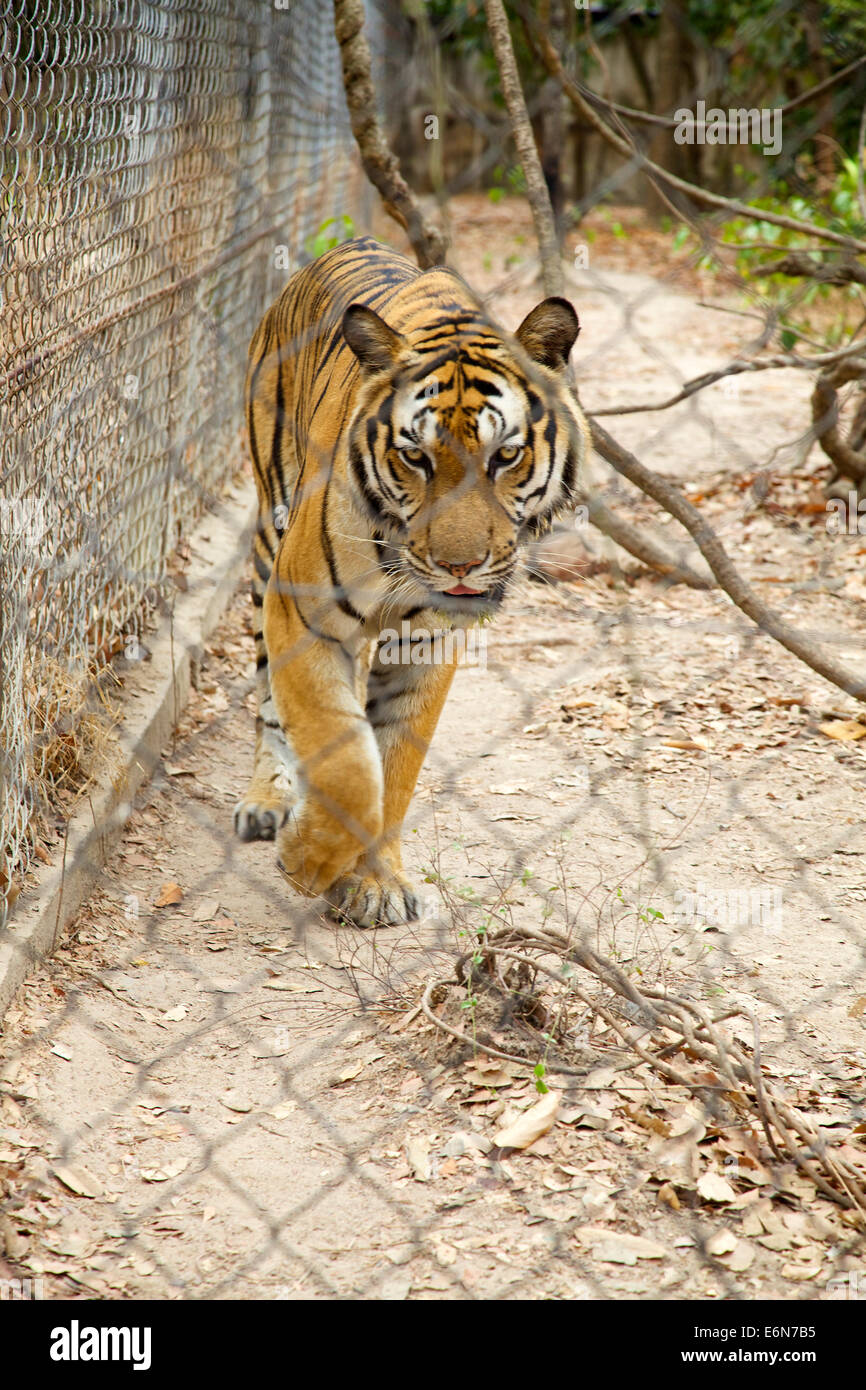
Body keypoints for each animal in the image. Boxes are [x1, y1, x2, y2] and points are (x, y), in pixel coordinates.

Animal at [237, 236, 589, 934]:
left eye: (505, 456)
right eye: (415, 457)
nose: (460, 566)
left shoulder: (427, 644)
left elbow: (393, 764)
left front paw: (374, 882)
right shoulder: (302, 613)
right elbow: (347, 764)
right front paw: (307, 859)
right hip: (267, 538)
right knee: (268, 698)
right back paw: (269, 798)